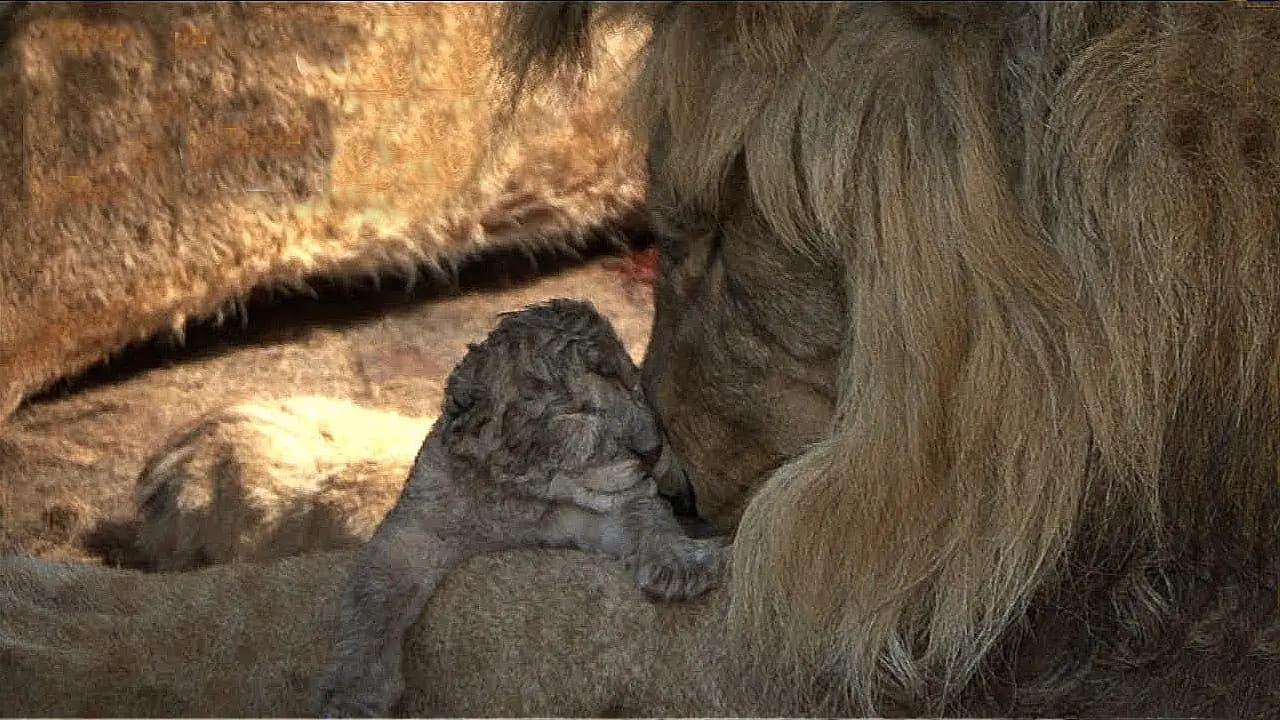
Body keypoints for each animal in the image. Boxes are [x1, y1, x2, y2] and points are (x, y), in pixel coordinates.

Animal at [2, 2, 1280, 712]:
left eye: (713, 238)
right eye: (670, 238)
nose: (669, 477)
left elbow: (493, 619)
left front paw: (49, 627)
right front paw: (271, 459)